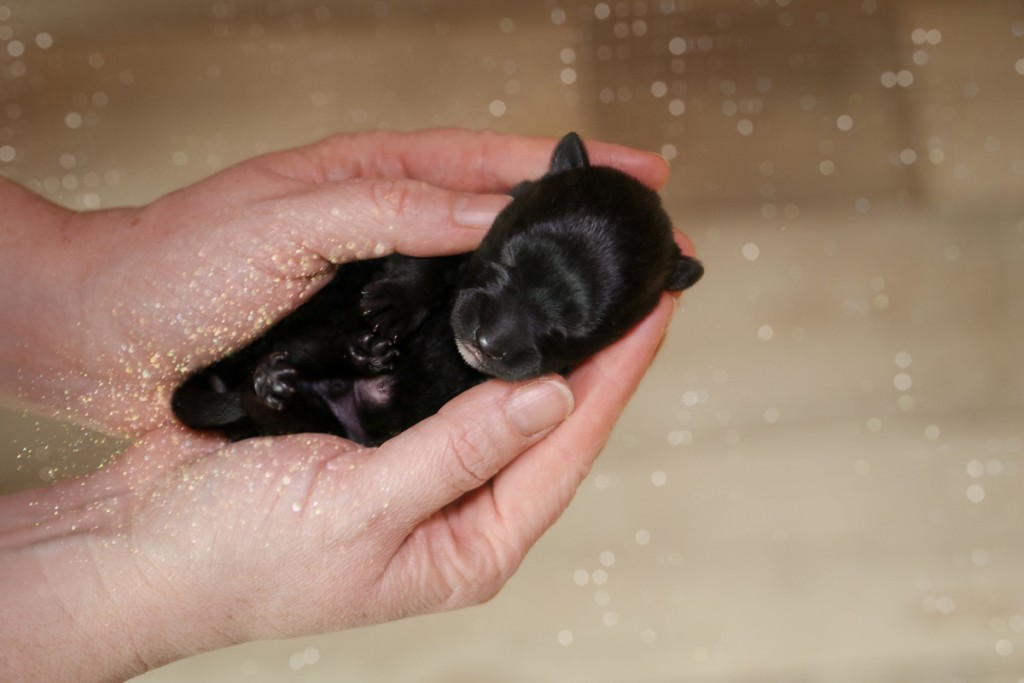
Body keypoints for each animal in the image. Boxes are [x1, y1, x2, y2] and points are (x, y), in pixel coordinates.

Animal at [176, 133, 704, 444]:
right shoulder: (457, 229)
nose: (486, 342)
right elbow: (427, 253)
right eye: (504, 261)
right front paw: (397, 302)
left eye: (572, 330)